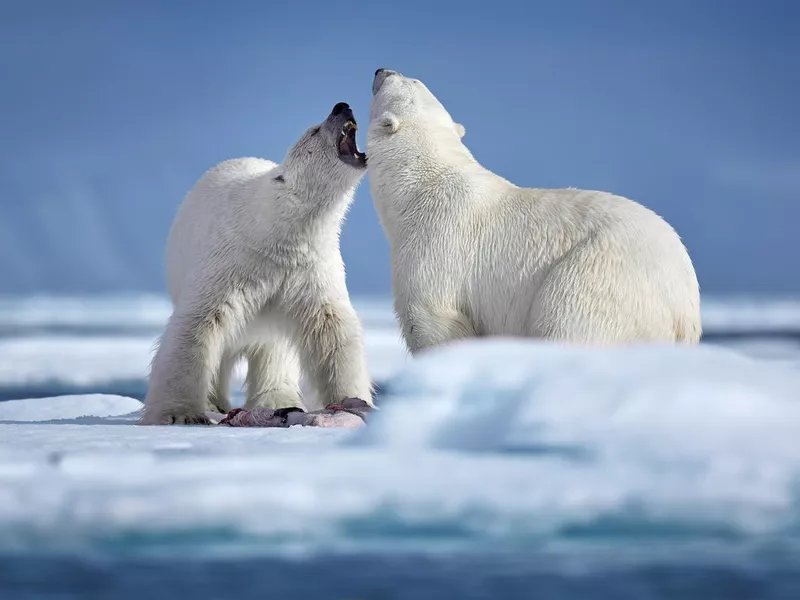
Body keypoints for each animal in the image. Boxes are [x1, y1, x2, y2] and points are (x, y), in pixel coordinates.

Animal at [140, 101, 372, 424]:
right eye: (314, 130)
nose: (342, 106)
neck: (276, 229)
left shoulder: (310, 268)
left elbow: (331, 328)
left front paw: (352, 401)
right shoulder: (233, 262)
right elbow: (198, 324)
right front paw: (179, 413)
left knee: (272, 348)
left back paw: (276, 399)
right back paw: (215, 403)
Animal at [368, 69, 700, 352]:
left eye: (398, 81)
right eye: (414, 79)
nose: (381, 70)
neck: (421, 184)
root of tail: (686, 309)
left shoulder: (435, 246)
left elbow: (433, 323)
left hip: (598, 276)